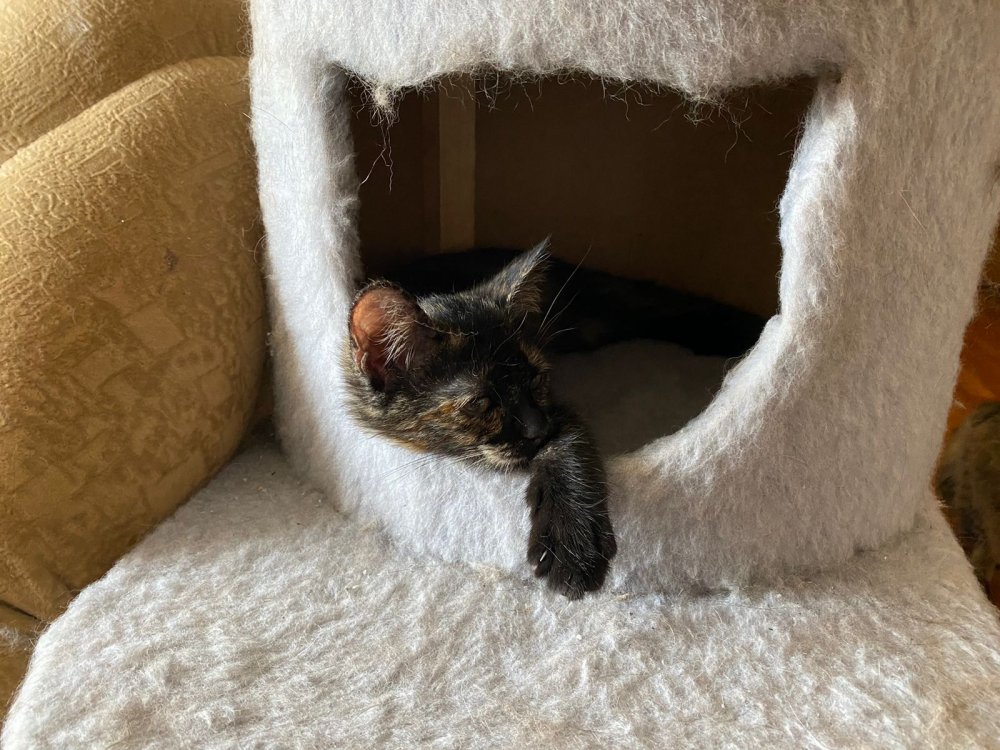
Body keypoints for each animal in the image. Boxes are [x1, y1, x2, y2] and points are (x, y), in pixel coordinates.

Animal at [343, 242, 765, 598]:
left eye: (538, 380)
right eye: (482, 403)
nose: (536, 428)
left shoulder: (557, 408)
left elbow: (570, 440)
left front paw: (573, 540)